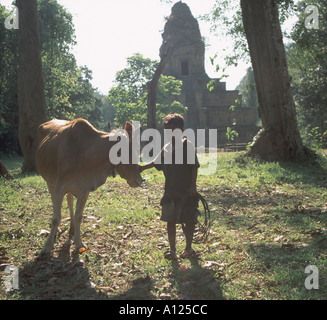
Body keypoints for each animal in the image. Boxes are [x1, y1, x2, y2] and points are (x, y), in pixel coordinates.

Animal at [36, 119, 143, 256]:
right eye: (134, 151)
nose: (139, 180)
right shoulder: (59, 187)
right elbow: (56, 218)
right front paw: (48, 246)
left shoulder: (84, 189)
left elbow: (79, 216)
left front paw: (78, 243)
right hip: (50, 182)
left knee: (70, 201)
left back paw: (72, 229)